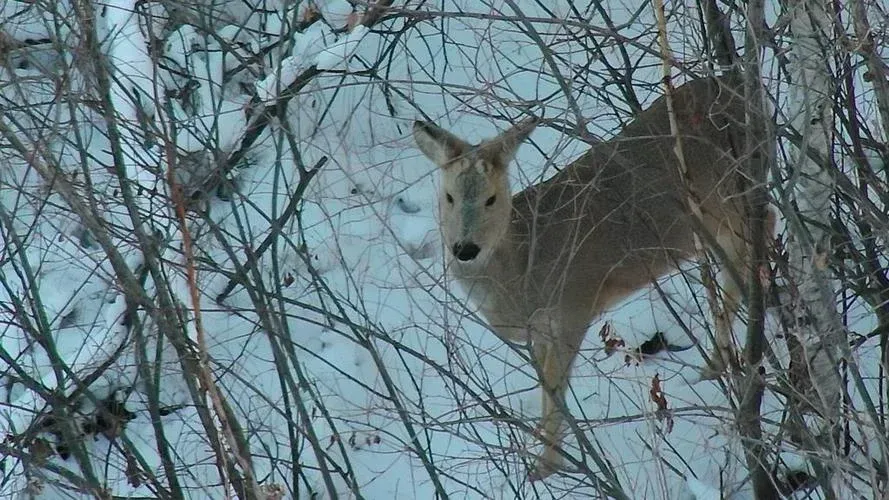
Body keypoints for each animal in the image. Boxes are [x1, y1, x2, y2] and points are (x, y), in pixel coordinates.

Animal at [412, 76, 772, 478]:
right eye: (448, 196)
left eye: (491, 198)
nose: (465, 248)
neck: (522, 266)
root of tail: (737, 83)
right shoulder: (541, 331)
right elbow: (545, 387)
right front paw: (541, 451)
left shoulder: (574, 305)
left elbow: (556, 389)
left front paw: (545, 467)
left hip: (734, 192)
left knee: (763, 226)